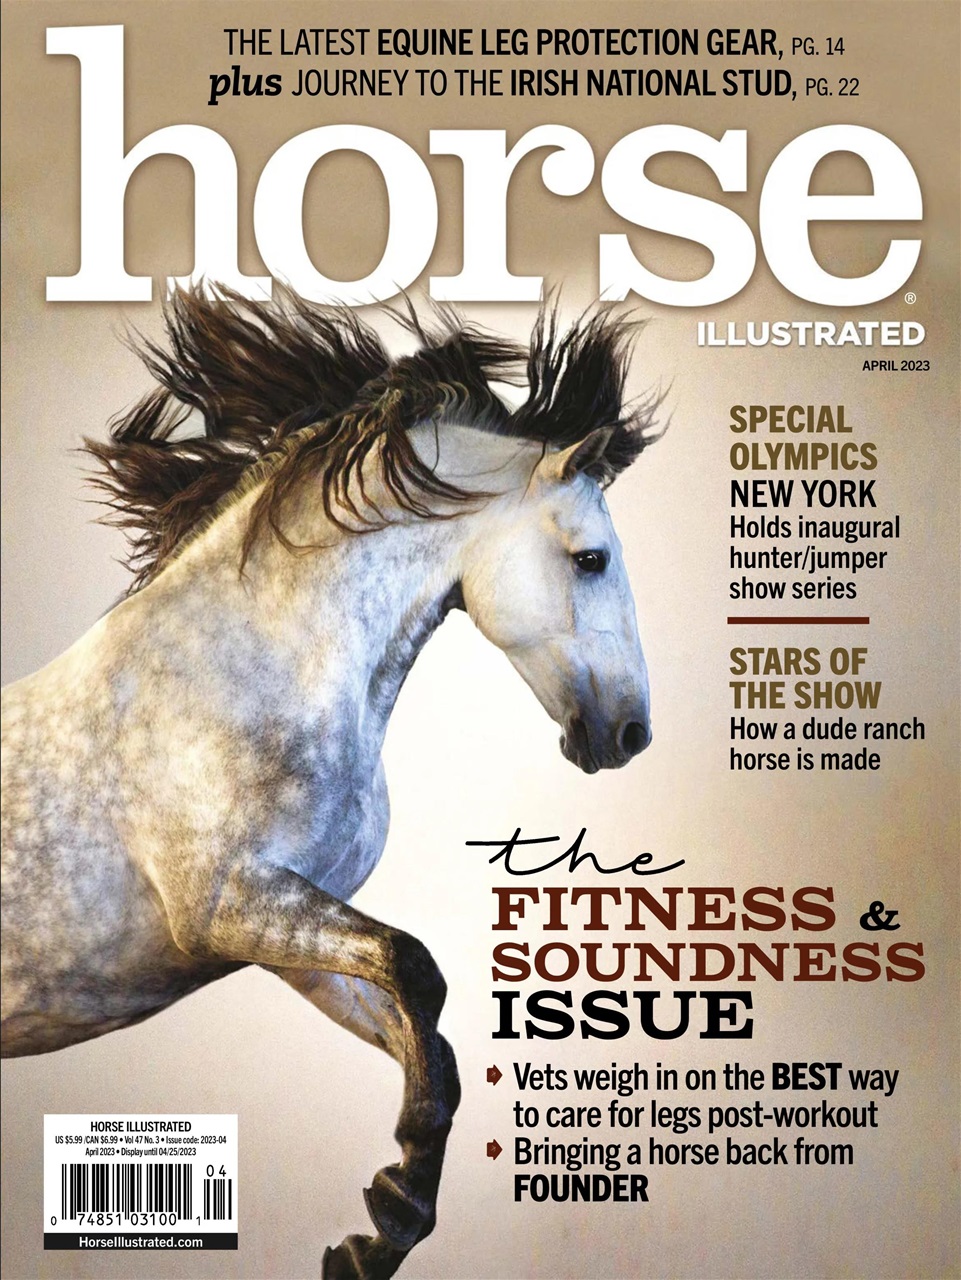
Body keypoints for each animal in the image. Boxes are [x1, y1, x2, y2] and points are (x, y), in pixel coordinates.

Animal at [0, 288, 661, 1279]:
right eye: (591, 559)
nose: (629, 732)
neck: (237, 672)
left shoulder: (280, 936)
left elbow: (423, 1033)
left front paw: (376, 1234)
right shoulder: (224, 903)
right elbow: (417, 970)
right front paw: (391, 1213)